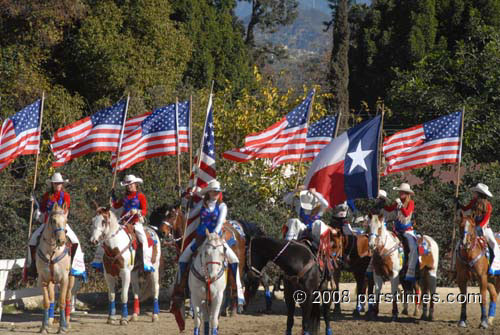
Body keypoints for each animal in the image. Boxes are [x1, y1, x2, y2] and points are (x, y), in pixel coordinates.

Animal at [36, 203, 73, 334]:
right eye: (53, 220)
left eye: (66, 221)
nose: (61, 241)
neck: (52, 252)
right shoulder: (42, 280)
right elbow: (46, 302)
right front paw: (44, 327)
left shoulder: (64, 279)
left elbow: (62, 302)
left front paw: (62, 328)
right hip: (51, 282)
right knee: (51, 298)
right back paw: (49, 322)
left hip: (71, 280)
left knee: (67, 298)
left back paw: (67, 324)